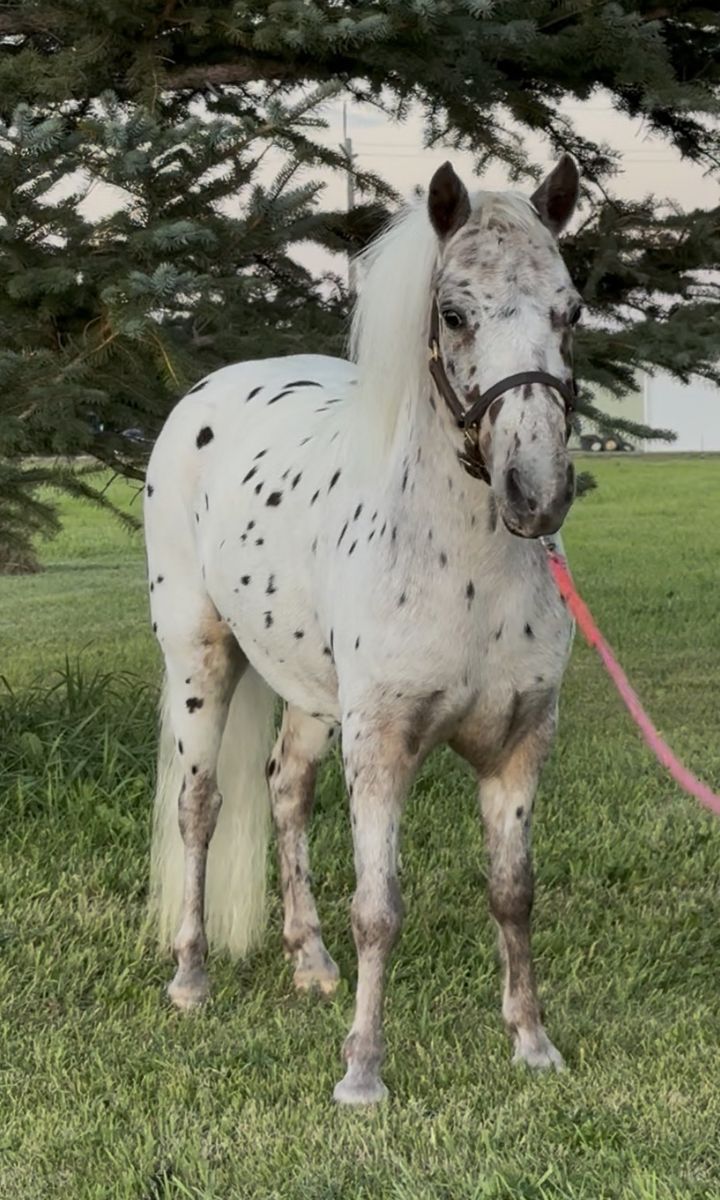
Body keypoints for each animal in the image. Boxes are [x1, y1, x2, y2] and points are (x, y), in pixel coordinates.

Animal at [144, 154, 582, 1105]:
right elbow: (379, 910)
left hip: (311, 699)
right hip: (201, 659)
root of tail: (204, 393)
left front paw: (533, 1043)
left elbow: (513, 893)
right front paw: (363, 1073)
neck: (467, 575)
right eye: (453, 312)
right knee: (200, 807)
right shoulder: (379, 744)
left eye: (569, 310)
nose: (535, 491)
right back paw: (191, 975)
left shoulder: (520, 744)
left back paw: (308, 960)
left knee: (284, 793)